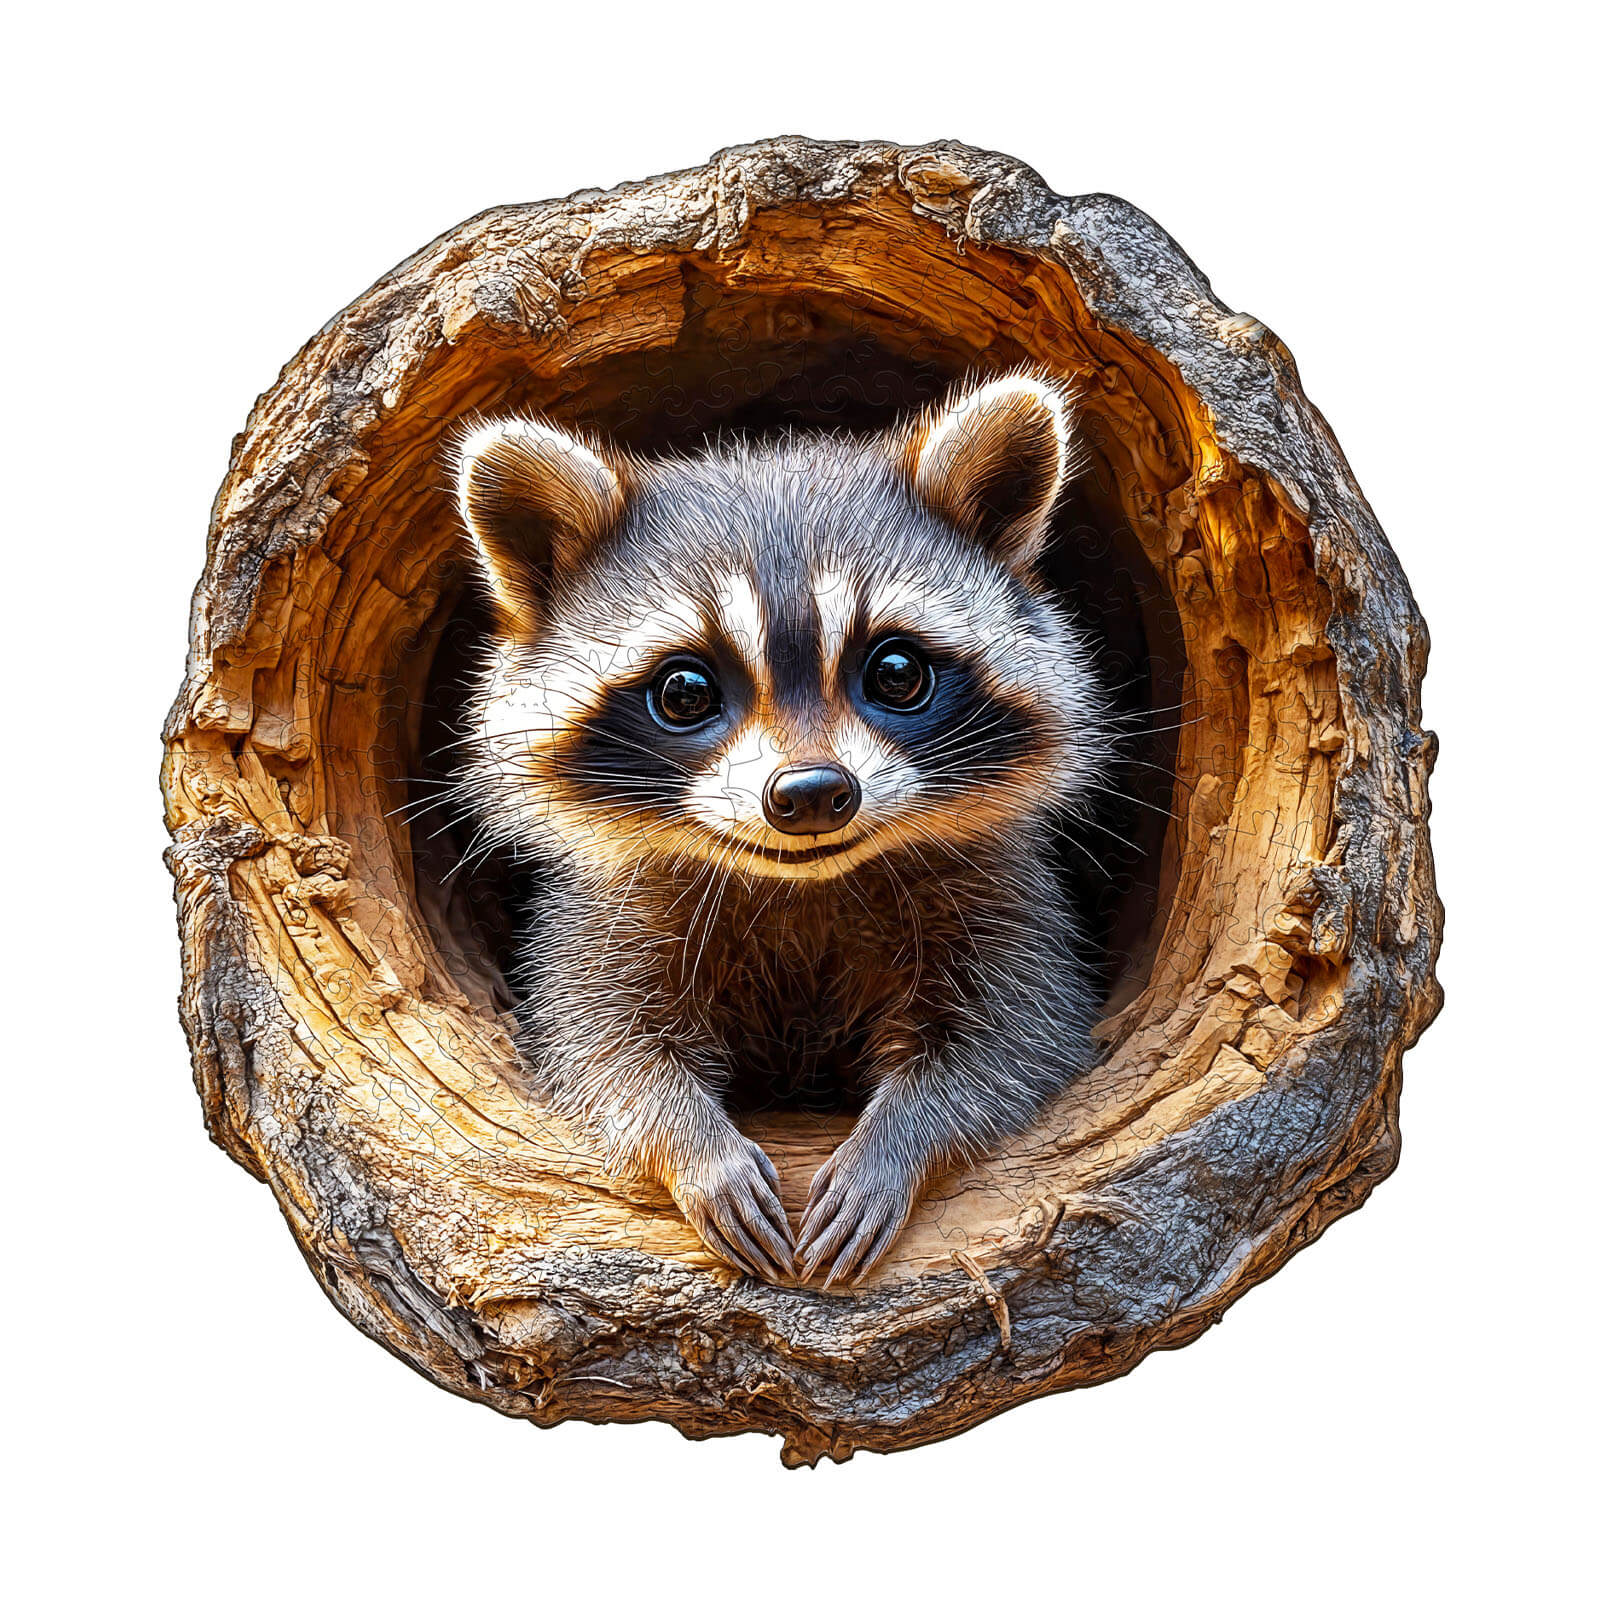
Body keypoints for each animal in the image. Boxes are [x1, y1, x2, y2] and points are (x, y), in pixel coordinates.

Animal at [449, 370, 1110, 1287]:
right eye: (684, 691)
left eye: (896, 672)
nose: (811, 793)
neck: (801, 881)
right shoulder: (602, 917)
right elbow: (603, 1046)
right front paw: (694, 1148)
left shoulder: (1004, 901)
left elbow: (1010, 1039)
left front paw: (897, 1142)